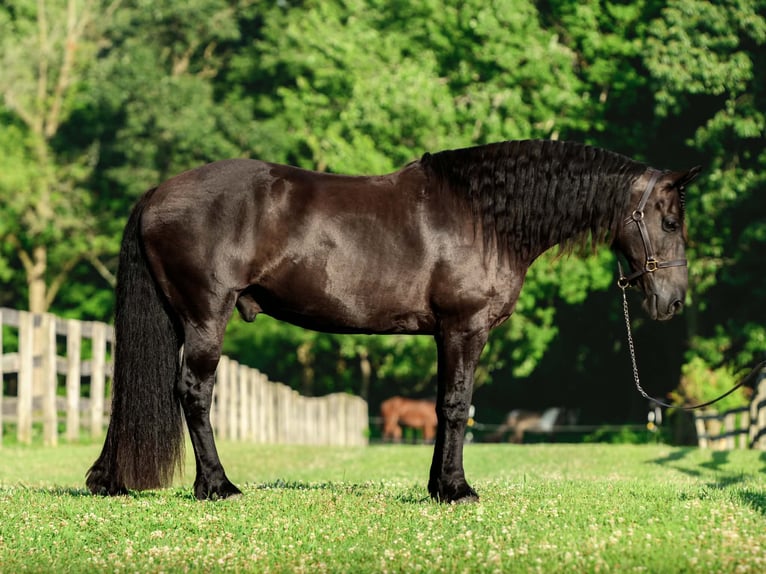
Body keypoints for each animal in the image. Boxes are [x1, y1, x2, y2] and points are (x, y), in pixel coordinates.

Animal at [86, 139, 699, 503]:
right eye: (669, 221)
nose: (673, 302)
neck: (484, 218)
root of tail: (157, 194)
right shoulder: (464, 329)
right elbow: (456, 407)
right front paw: (456, 489)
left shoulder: (445, 335)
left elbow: (446, 406)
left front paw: (437, 486)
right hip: (205, 317)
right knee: (194, 392)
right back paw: (217, 486)